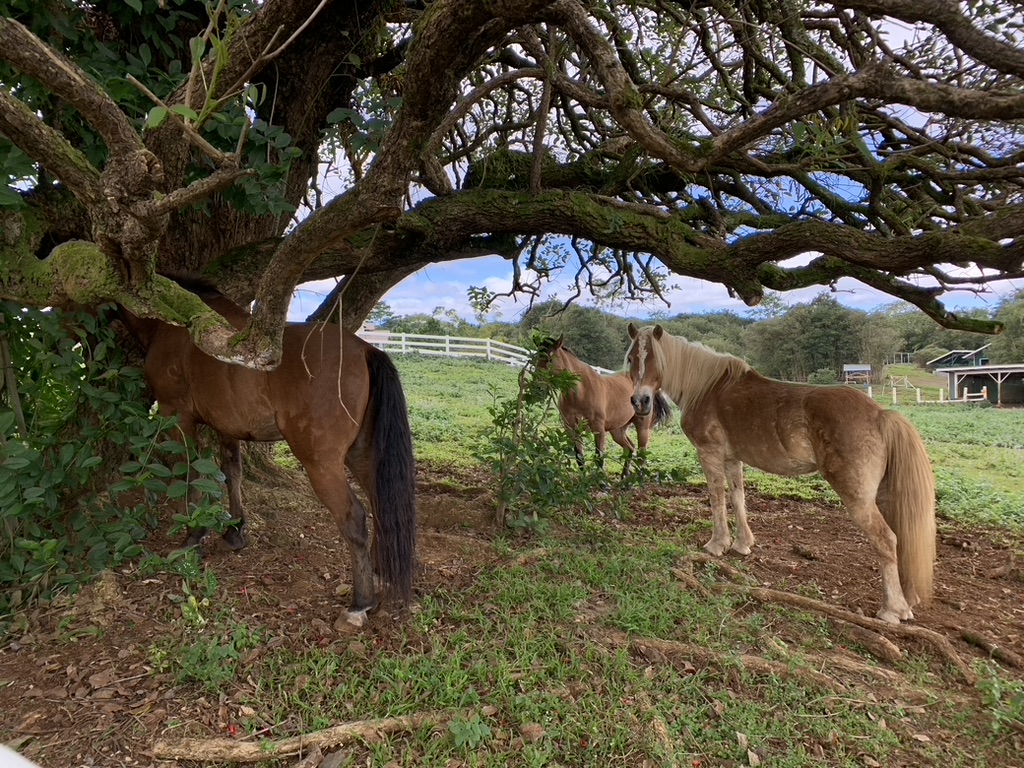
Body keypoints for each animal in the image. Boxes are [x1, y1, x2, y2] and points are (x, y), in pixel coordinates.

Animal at [118, 284, 417, 626]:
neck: (173, 324)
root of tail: (365, 351)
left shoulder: (177, 415)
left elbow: (190, 472)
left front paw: (194, 536)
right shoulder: (226, 425)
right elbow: (231, 472)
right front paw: (235, 531)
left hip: (322, 464)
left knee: (353, 517)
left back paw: (360, 603)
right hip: (362, 454)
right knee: (380, 502)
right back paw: (381, 571)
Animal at [535, 336, 671, 475]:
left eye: (550, 359)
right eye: (536, 358)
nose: (538, 386)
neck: (580, 392)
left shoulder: (598, 428)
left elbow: (599, 456)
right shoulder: (572, 429)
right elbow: (579, 457)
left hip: (642, 427)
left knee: (641, 454)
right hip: (617, 430)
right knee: (630, 448)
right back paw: (624, 476)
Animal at [625, 323, 935, 624]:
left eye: (654, 359)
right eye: (631, 359)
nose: (640, 401)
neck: (707, 388)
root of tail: (881, 415)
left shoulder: (709, 454)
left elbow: (716, 499)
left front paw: (717, 544)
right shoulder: (733, 459)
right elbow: (737, 498)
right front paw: (742, 544)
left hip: (859, 498)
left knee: (886, 540)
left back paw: (891, 610)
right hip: (884, 496)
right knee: (901, 539)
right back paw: (907, 603)